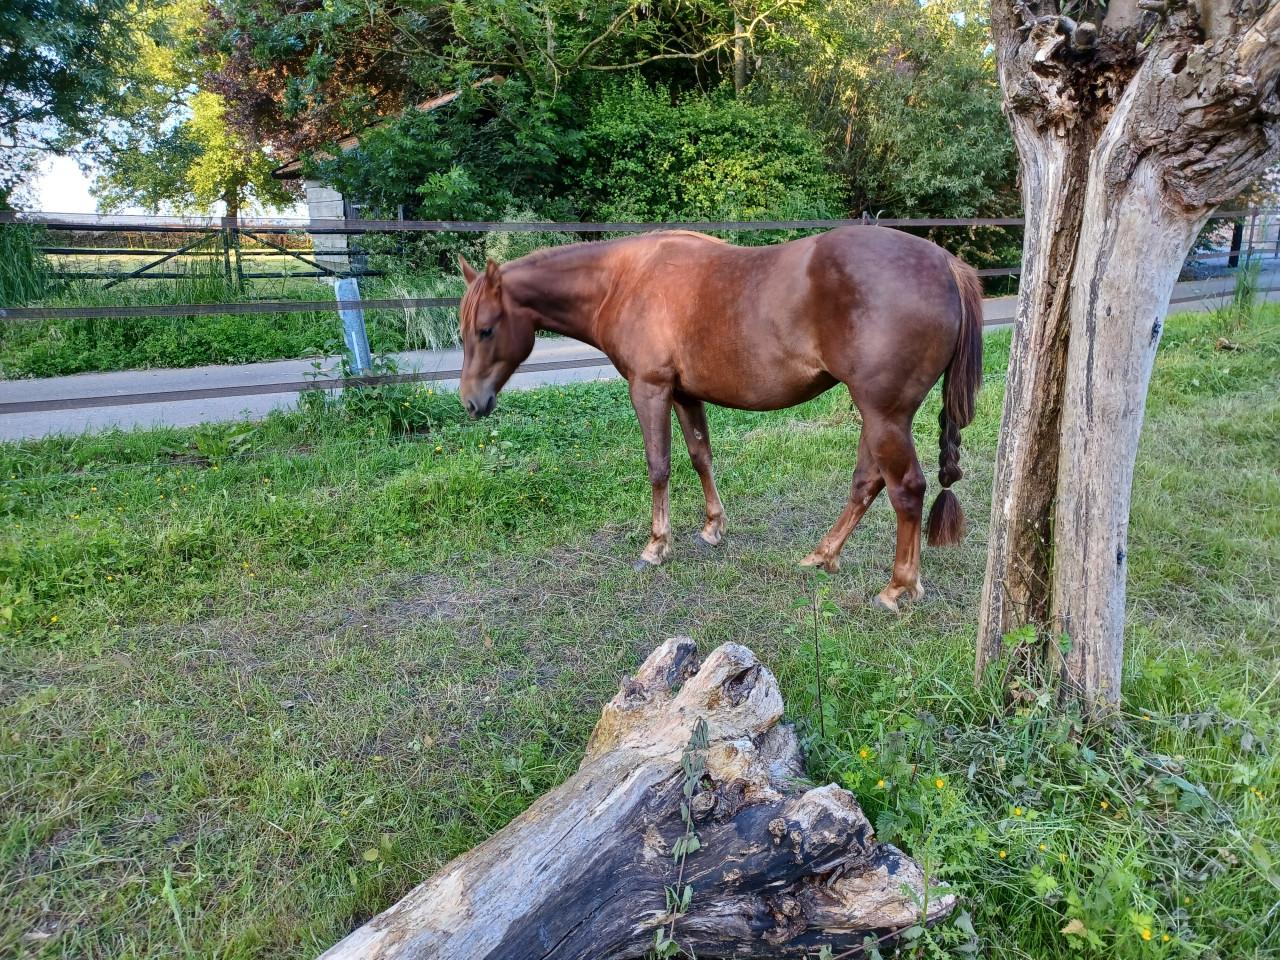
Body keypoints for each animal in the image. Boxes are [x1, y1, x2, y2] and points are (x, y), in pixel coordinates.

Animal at [456, 226, 983, 612]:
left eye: (486, 329)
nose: (470, 402)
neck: (625, 279)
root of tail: (946, 264)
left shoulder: (649, 389)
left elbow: (659, 466)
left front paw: (656, 546)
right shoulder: (685, 395)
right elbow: (700, 456)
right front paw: (712, 527)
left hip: (883, 414)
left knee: (906, 490)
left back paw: (897, 588)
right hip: (877, 416)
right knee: (866, 483)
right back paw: (822, 555)